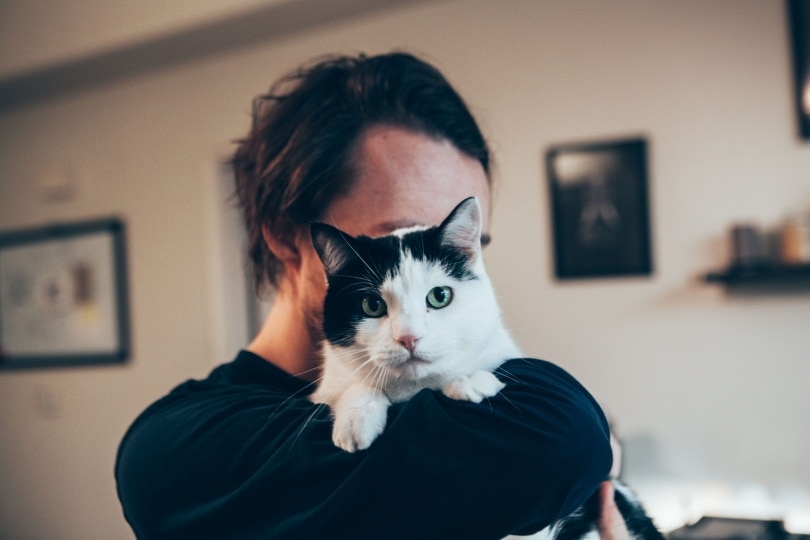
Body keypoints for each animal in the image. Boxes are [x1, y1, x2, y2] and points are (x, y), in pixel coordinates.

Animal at [306, 198, 660, 540]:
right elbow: (348, 384)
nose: (408, 337)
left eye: (439, 296)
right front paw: (356, 418)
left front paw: (466, 379)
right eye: (372, 305)